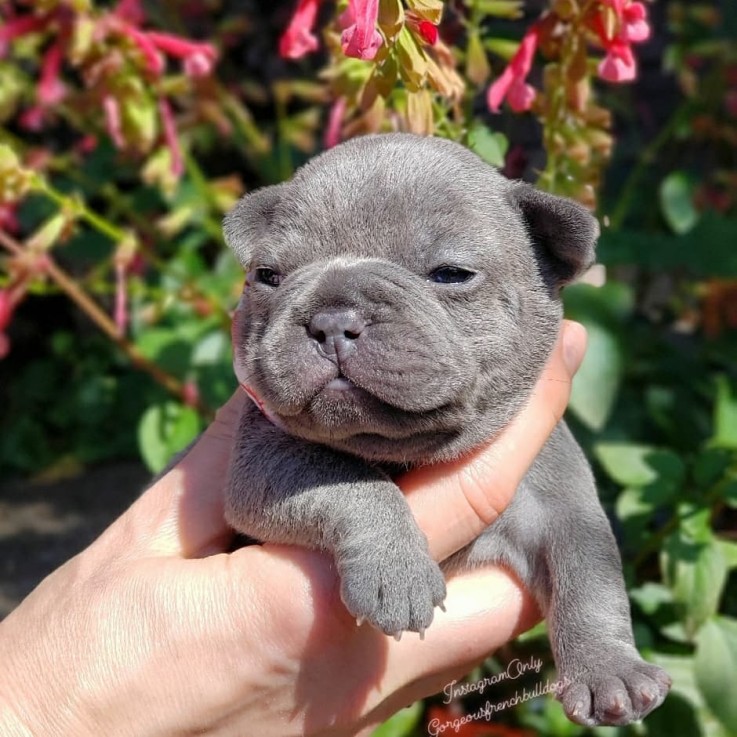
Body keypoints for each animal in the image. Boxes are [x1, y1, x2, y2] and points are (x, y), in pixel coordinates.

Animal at [221, 132, 668, 724]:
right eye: (268, 277)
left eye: (451, 274)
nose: (332, 318)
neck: (406, 450)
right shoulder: (260, 461)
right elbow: (341, 475)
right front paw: (395, 569)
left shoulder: (564, 503)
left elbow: (590, 574)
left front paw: (609, 670)